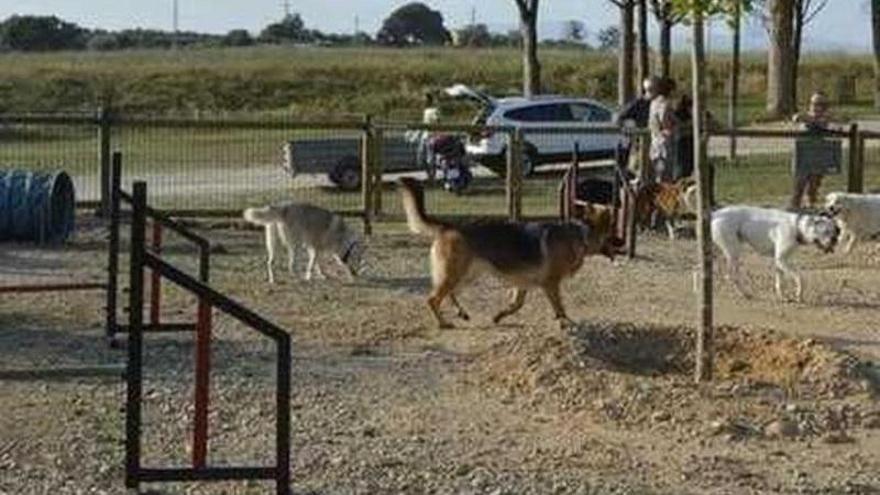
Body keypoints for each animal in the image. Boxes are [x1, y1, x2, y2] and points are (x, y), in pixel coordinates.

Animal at [398, 178, 620, 330]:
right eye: (614, 233)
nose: (623, 242)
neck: (582, 234)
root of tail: (449, 226)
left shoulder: (523, 283)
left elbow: (516, 305)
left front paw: (498, 316)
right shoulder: (550, 284)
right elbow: (559, 306)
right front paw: (566, 322)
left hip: (466, 274)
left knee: (449, 294)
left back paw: (461, 313)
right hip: (456, 273)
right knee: (433, 299)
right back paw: (443, 323)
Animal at [708, 205, 840, 302]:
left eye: (834, 231)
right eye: (825, 231)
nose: (835, 239)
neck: (797, 227)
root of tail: (716, 214)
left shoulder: (779, 262)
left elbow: (779, 282)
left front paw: (782, 297)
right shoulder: (781, 261)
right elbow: (800, 278)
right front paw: (799, 295)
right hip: (734, 253)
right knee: (731, 276)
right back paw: (745, 294)